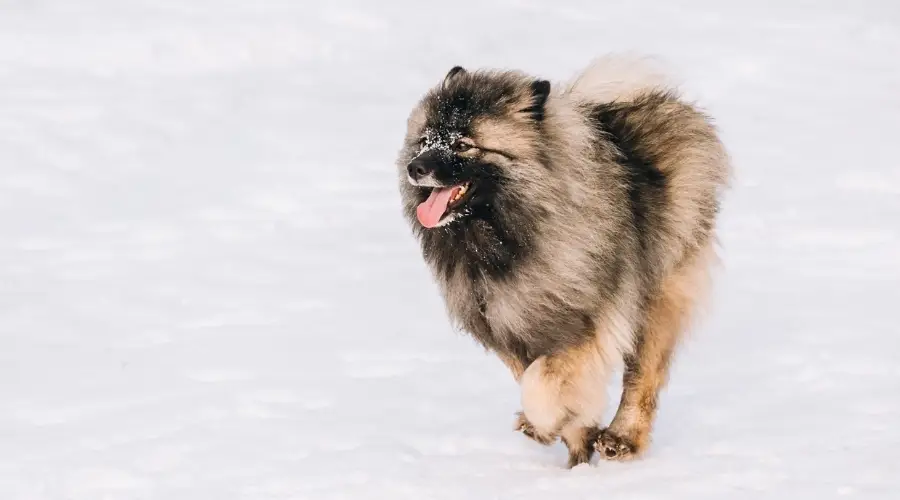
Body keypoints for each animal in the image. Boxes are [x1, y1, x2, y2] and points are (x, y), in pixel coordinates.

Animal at [396, 56, 732, 466]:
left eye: (463, 145)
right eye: (425, 140)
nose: (415, 167)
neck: (505, 238)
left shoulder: (588, 326)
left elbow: (543, 380)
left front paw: (545, 423)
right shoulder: (505, 327)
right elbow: (538, 380)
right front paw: (569, 438)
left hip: (659, 295)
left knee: (642, 377)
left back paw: (622, 438)